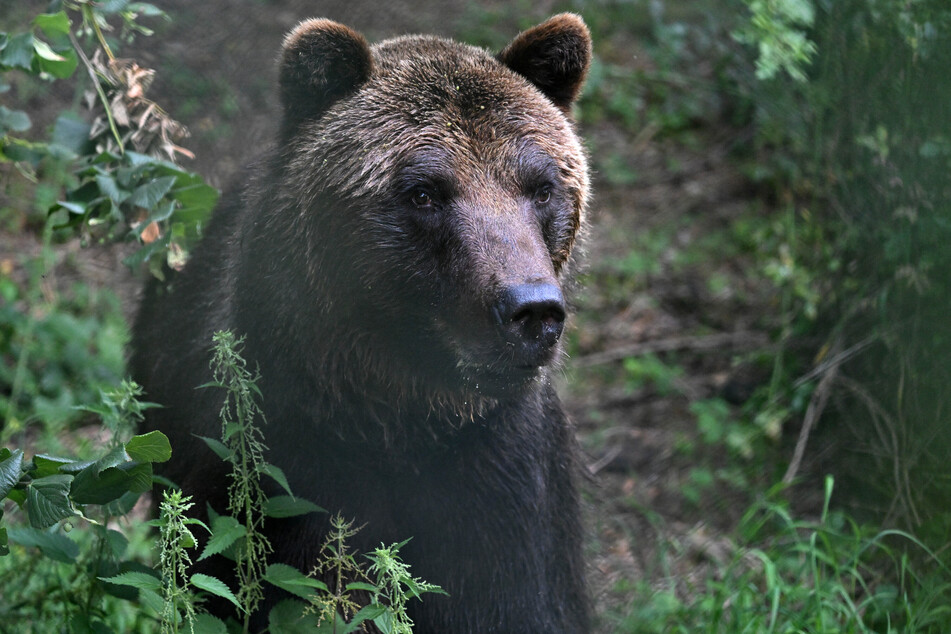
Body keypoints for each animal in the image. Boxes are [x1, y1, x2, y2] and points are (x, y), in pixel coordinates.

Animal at [132, 12, 596, 628]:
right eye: (423, 193)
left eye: (542, 188)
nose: (531, 309)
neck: (399, 412)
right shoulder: (284, 467)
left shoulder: (502, 484)